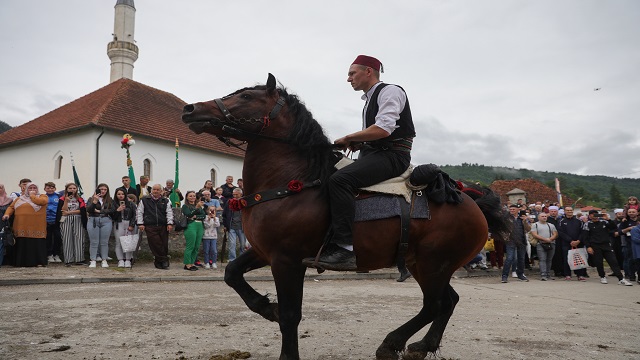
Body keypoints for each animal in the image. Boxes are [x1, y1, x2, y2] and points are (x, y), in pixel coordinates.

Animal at [181, 74, 510, 360]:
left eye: (247, 97)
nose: (190, 109)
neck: (293, 181)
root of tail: (469, 200)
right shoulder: (264, 251)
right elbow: (231, 273)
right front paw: (265, 307)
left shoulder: (286, 260)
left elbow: (290, 315)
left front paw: (286, 347)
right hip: (425, 264)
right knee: (446, 302)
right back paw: (418, 346)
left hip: (434, 264)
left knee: (435, 304)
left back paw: (393, 343)